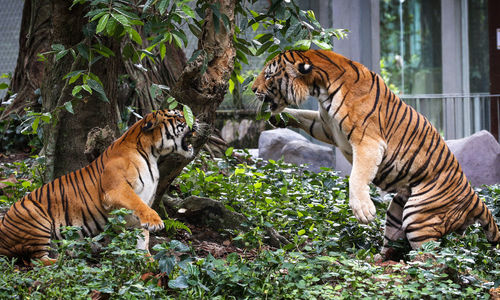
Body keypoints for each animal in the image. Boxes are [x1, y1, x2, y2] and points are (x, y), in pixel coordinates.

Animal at [0, 108, 196, 262]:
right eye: (178, 116)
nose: (196, 122)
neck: (152, 153)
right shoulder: (116, 190)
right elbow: (138, 205)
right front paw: (155, 222)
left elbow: (142, 237)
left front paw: (147, 261)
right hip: (36, 219)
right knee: (37, 260)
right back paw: (66, 261)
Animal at [252, 49, 500, 258]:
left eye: (268, 75)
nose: (253, 89)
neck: (321, 87)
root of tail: (474, 198)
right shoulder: (325, 126)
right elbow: (300, 114)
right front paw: (278, 118)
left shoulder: (368, 142)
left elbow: (357, 176)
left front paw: (363, 210)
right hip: (397, 210)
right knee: (394, 246)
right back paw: (377, 259)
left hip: (418, 215)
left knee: (432, 257)